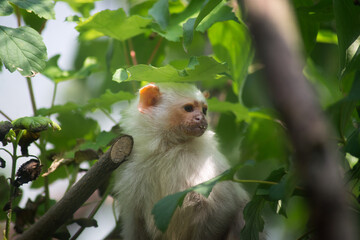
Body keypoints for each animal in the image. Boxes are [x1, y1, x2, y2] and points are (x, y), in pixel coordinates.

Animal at [114, 83, 249, 240]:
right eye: (189, 108)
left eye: (204, 110)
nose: (201, 118)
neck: (167, 149)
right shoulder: (132, 170)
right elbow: (135, 222)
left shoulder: (204, 164)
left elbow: (224, 207)